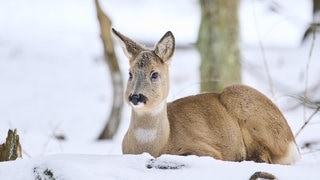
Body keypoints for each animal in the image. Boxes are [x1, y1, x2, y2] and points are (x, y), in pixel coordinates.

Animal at [112, 28, 300, 165]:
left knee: (265, 158)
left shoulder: (206, 149)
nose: (136, 97)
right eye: (130, 74)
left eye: (154, 74)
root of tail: (292, 141)